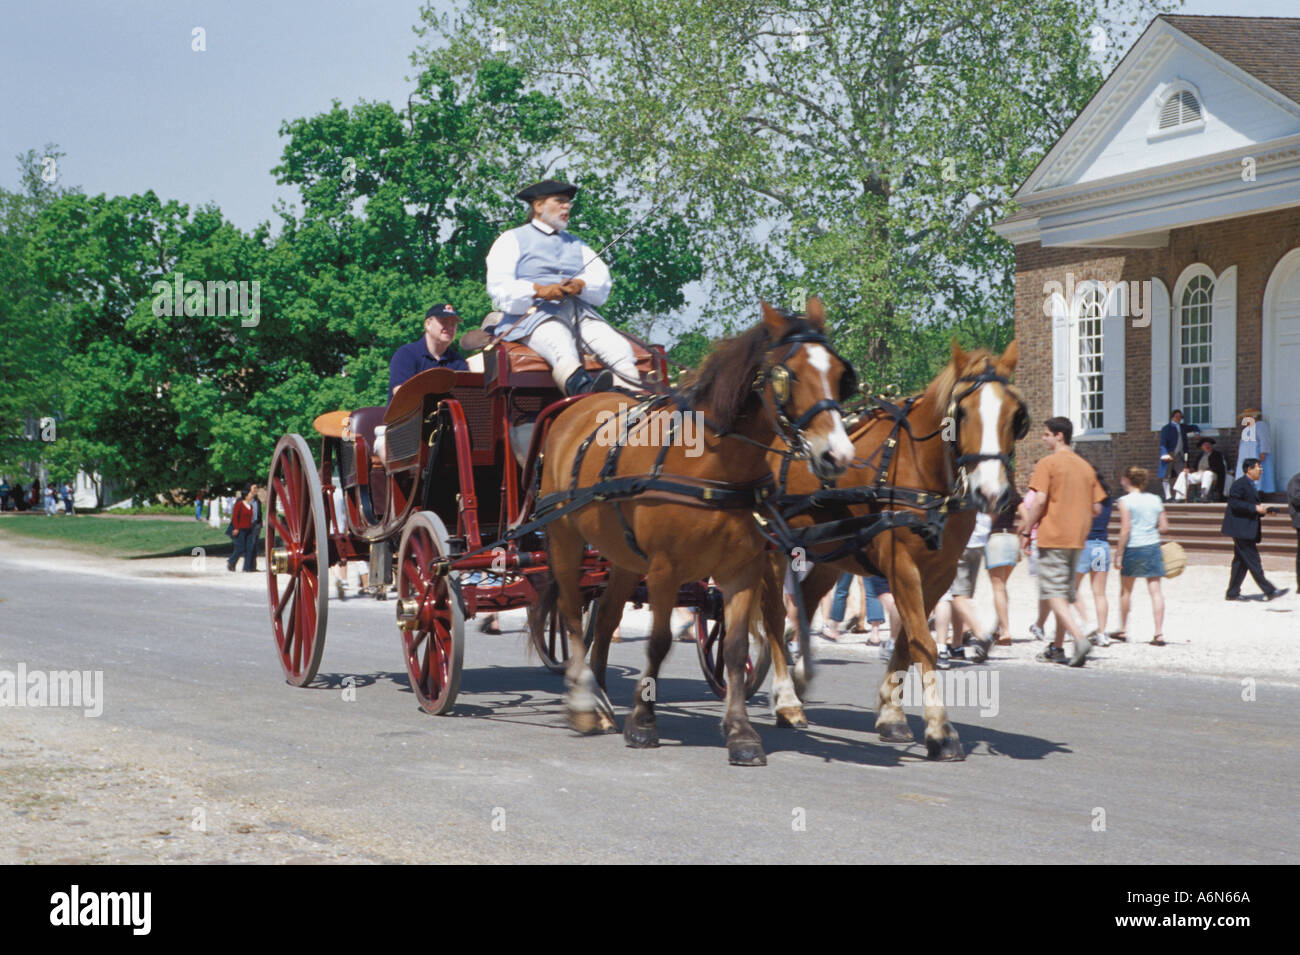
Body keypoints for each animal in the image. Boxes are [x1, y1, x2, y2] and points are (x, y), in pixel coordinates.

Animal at [533, 302, 857, 764]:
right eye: (788, 375)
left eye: (839, 373)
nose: (837, 455)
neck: (713, 464)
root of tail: (578, 405)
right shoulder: (665, 569)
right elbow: (659, 642)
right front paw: (643, 723)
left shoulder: (742, 569)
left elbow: (736, 646)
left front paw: (740, 732)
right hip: (564, 537)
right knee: (571, 615)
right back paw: (583, 704)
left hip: (623, 555)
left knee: (608, 615)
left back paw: (601, 697)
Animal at [759, 340, 1024, 758]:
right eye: (962, 412)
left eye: (1015, 415)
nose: (992, 493)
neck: (925, 475)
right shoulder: (902, 566)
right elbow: (923, 642)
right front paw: (940, 730)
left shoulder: (940, 573)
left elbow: (907, 640)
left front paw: (891, 714)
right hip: (771, 546)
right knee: (772, 615)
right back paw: (787, 699)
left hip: (831, 551)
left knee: (801, 603)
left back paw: (798, 677)